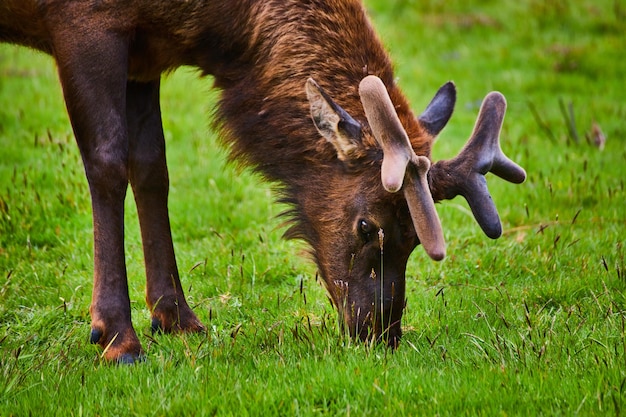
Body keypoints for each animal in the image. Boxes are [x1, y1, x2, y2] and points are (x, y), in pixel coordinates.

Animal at [2, 0, 524, 360]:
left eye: (416, 237)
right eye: (366, 225)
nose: (379, 333)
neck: (211, 30)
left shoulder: (146, 54)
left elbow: (152, 169)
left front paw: (176, 317)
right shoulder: (86, 23)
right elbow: (107, 166)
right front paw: (116, 335)